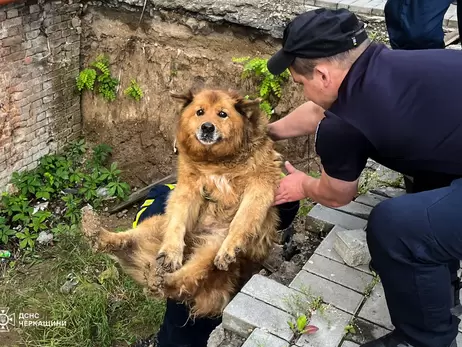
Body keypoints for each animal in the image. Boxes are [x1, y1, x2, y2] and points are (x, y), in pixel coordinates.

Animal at [81, 89, 284, 318]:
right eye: (200, 112)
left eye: (222, 114)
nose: (207, 127)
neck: (218, 161)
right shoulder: (187, 187)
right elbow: (178, 219)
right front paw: (172, 253)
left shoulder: (260, 185)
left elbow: (243, 219)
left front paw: (230, 247)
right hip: (157, 223)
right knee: (127, 241)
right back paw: (95, 231)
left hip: (209, 247)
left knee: (186, 280)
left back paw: (162, 280)